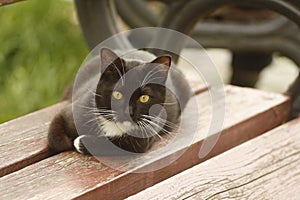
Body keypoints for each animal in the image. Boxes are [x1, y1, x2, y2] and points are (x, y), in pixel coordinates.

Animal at [47, 47, 192, 155]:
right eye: (117, 94)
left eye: (144, 98)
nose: (128, 111)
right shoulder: (73, 110)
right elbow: (56, 137)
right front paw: (69, 142)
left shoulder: (146, 135)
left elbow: (118, 146)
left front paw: (80, 142)